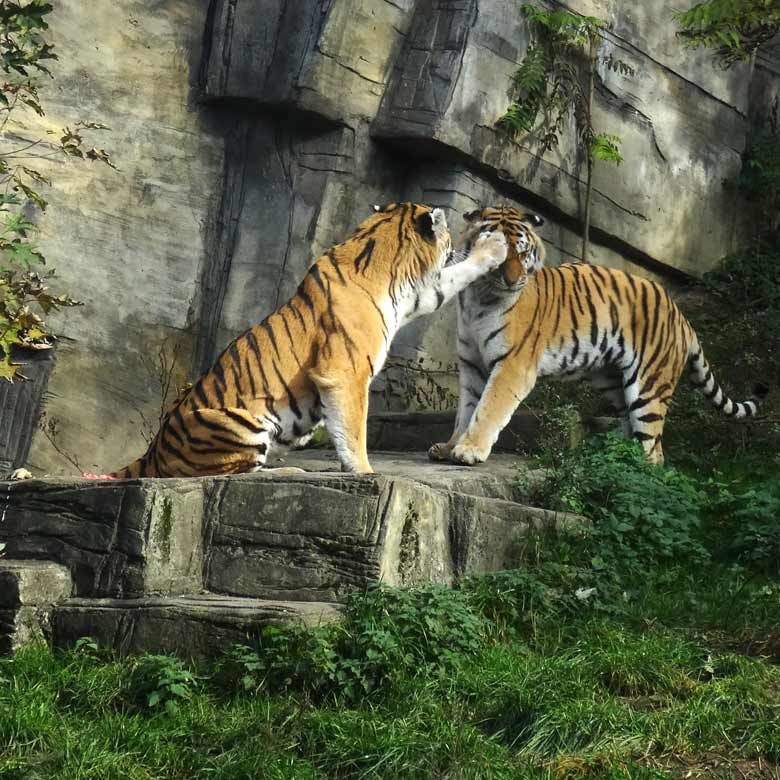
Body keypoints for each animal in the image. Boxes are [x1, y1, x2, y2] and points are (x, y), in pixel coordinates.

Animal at [103, 201, 506, 478]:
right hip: (235, 420)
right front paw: (364, 471)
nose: (458, 241)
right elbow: (354, 428)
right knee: (233, 474)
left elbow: (452, 278)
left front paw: (493, 248)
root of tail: (151, 454)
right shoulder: (346, 372)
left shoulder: (418, 294)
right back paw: (289, 470)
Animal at [430, 204, 764, 466]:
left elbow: (488, 408)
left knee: (653, 450)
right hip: (612, 380)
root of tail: (681, 316)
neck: (479, 296)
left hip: (649, 387)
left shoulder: (513, 364)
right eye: (500, 254)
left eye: (522, 252)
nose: (513, 281)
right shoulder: (472, 362)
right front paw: (450, 446)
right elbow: (466, 409)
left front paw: (469, 451)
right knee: (634, 431)